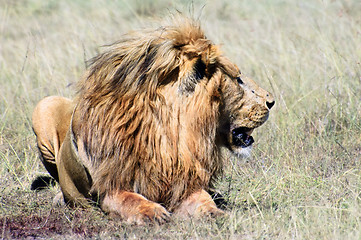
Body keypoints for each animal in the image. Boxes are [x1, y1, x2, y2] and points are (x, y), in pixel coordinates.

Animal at [32, 17, 274, 224]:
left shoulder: (183, 183)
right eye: (238, 79)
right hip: (44, 106)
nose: (272, 101)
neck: (169, 132)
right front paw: (152, 212)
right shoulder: (111, 187)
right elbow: (130, 199)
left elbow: (202, 199)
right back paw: (59, 198)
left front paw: (215, 212)